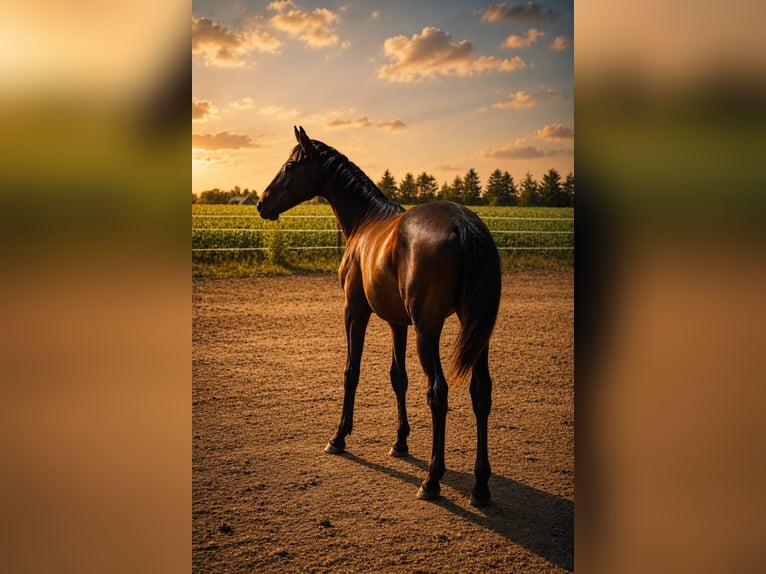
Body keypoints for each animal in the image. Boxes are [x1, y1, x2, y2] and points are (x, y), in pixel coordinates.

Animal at [257, 126, 501, 506]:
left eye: (290, 166)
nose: (261, 203)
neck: (366, 221)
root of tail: (462, 223)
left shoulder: (355, 312)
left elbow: (351, 372)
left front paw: (339, 436)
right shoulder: (397, 322)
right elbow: (398, 377)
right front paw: (400, 442)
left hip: (427, 332)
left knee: (438, 392)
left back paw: (432, 479)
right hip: (476, 333)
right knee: (481, 393)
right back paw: (480, 486)